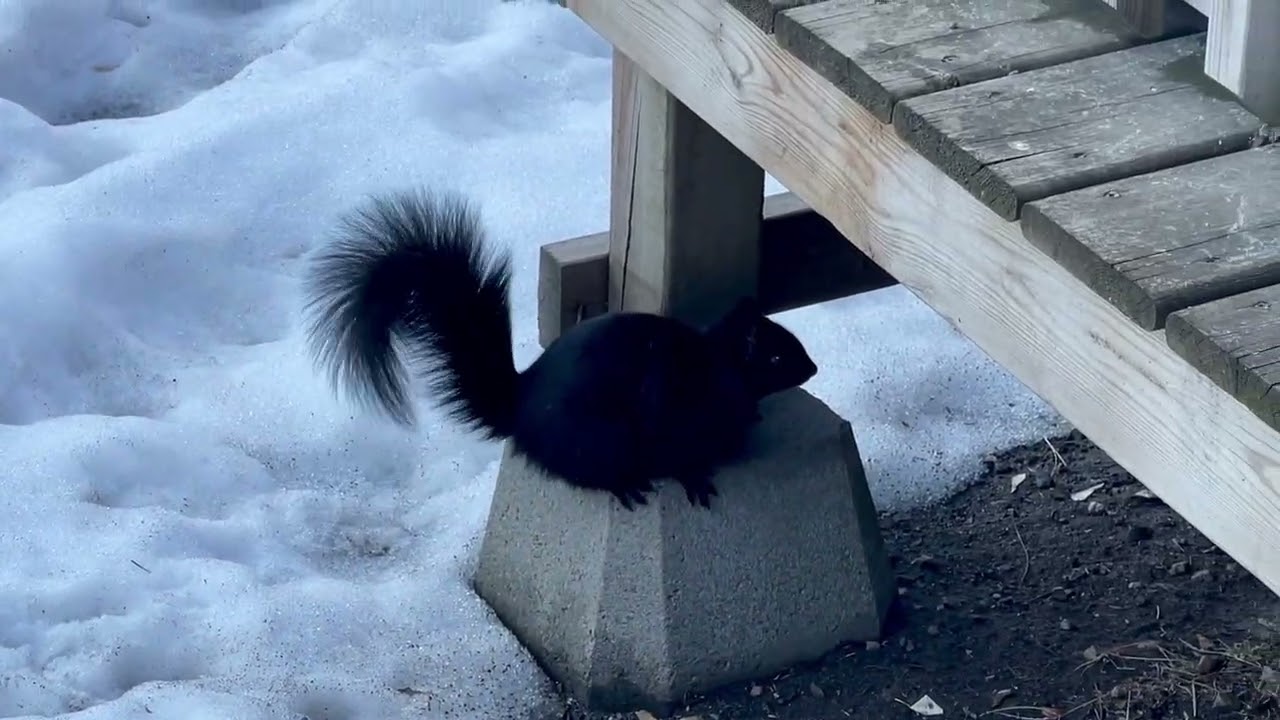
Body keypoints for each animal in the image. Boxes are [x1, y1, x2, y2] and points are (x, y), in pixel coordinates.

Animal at [301, 188, 819, 510]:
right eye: (778, 355)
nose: (813, 368)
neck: (716, 366)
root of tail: (522, 405)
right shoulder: (670, 413)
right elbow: (678, 455)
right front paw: (697, 480)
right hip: (602, 438)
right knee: (586, 470)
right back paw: (626, 485)